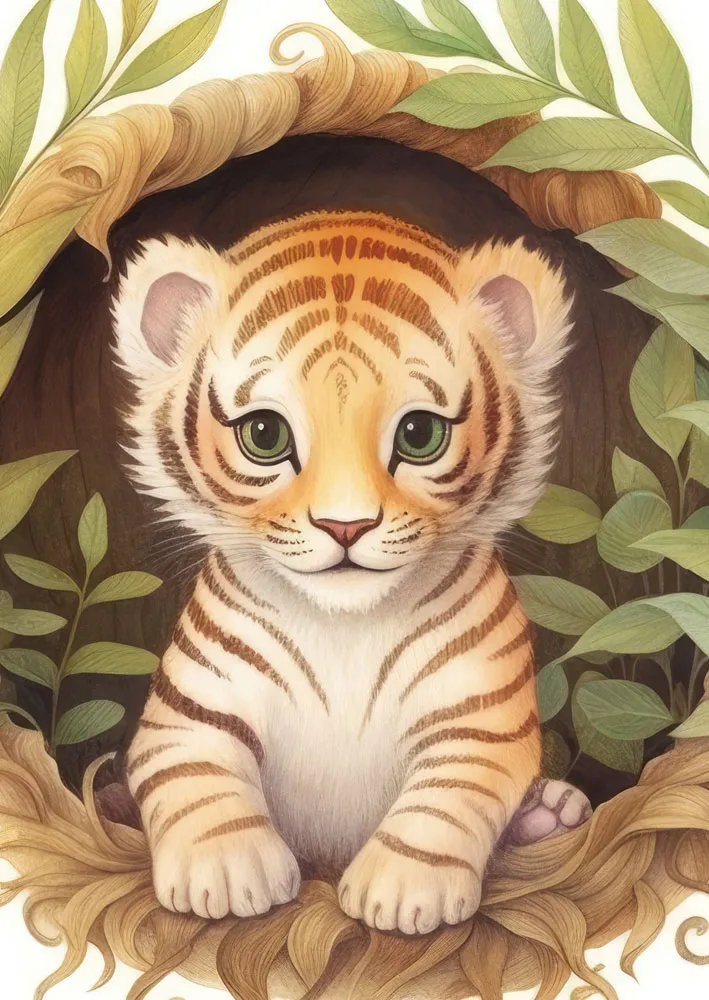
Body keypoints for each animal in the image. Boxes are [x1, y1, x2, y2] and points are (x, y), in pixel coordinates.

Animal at [111, 209, 591, 935]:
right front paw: (224, 872)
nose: (345, 526)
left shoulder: (477, 718)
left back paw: (552, 815)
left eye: (420, 434)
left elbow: (443, 800)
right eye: (264, 435)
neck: (344, 628)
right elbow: (197, 784)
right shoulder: (190, 715)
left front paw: (404, 889)